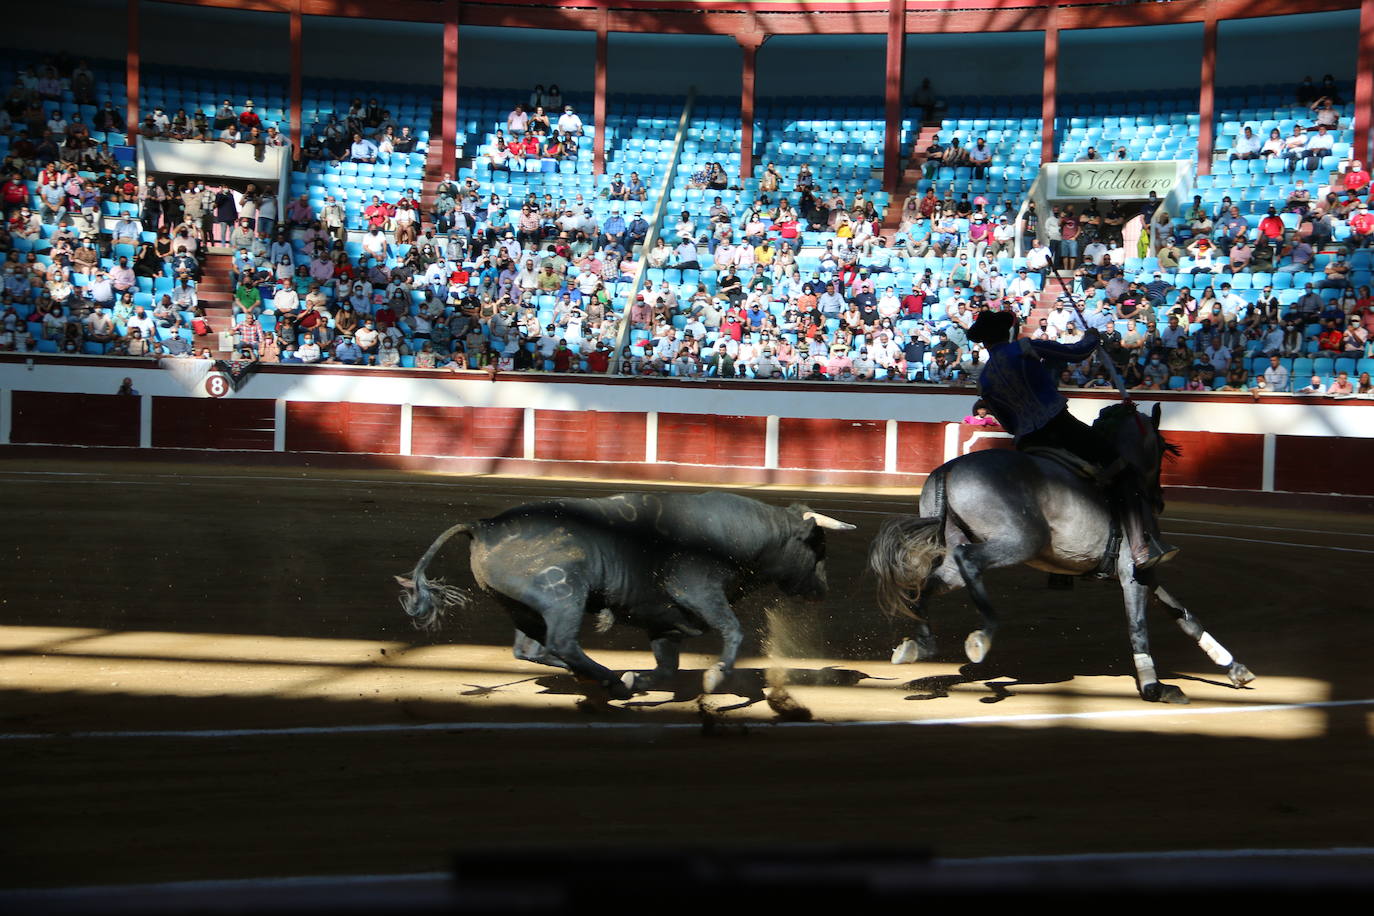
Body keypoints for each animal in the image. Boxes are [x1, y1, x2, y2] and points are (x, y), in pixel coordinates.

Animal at [392, 491, 851, 697]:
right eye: (819, 548)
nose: (823, 591)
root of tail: (483, 525)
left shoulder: (664, 622)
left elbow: (667, 666)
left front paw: (643, 677)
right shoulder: (699, 592)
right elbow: (734, 631)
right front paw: (716, 675)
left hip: (523, 609)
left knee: (532, 649)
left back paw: (608, 677)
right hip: (563, 595)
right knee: (560, 642)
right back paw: (609, 678)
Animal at [868, 401, 1258, 703]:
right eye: (1162, 447)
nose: (1159, 498)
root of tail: (949, 469)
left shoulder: (1146, 572)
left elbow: (1185, 617)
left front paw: (1236, 669)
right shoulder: (1134, 571)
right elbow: (1139, 625)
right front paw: (1155, 687)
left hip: (955, 556)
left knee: (929, 583)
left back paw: (920, 645)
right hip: (1019, 542)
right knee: (969, 561)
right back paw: (983, 636)